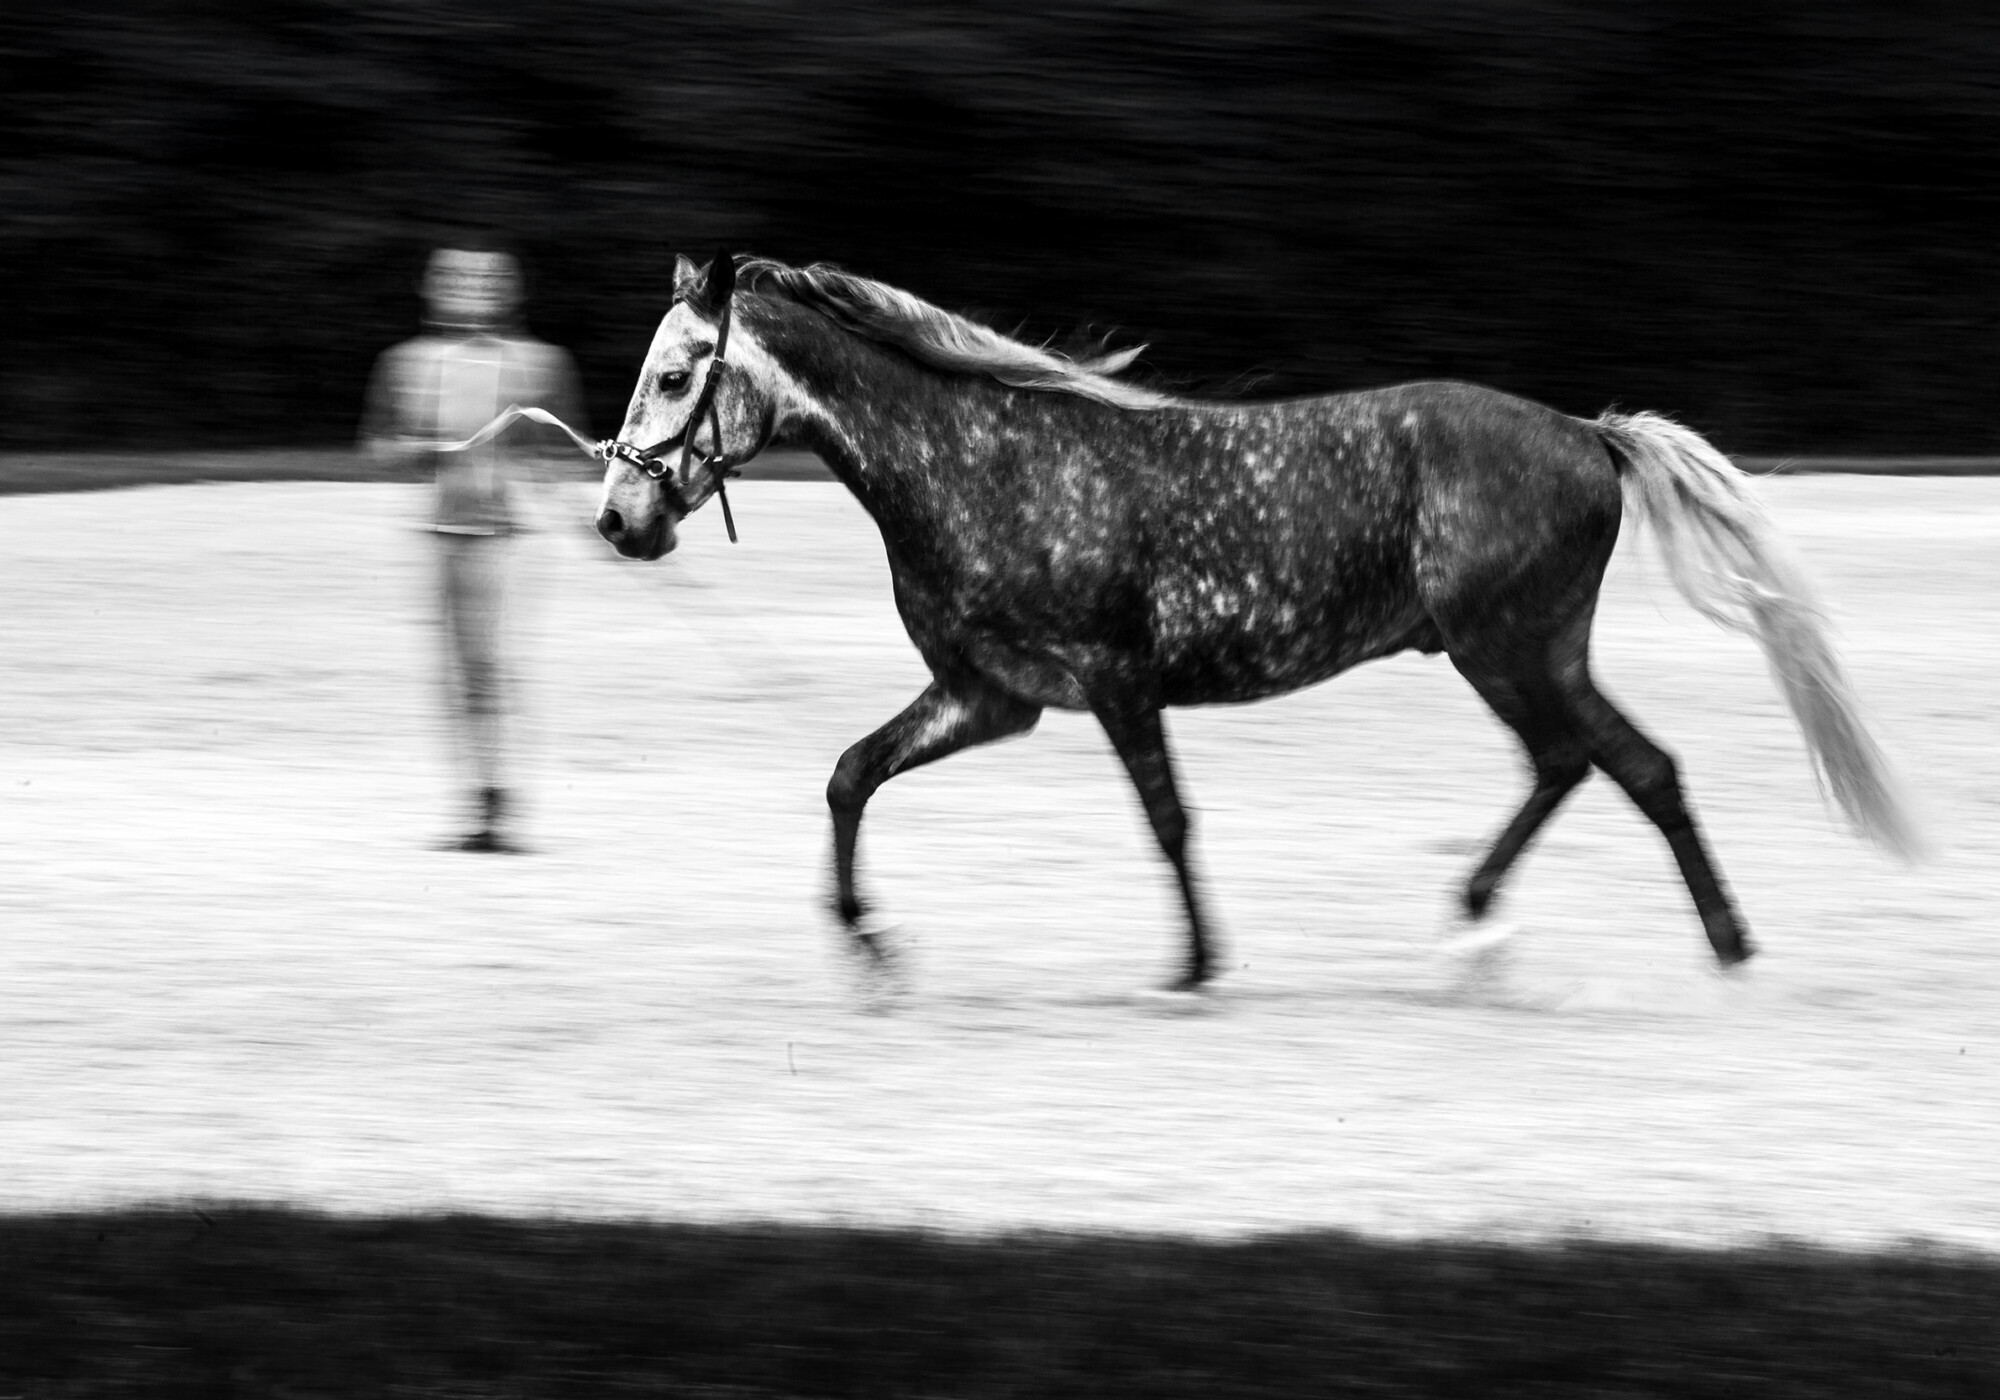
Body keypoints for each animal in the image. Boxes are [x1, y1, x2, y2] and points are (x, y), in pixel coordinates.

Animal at [594, 252, 1920, 991]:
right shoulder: (992, 695)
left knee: (1623, 764)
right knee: (1589, 765)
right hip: (1517, 652)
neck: (980, 463)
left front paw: (1194, 962)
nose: (617, 517)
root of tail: (1589, 434)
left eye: (676, 374)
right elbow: (849, 774)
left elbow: (1168, 821)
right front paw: (870, 945)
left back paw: (1697, 943)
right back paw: (1502, 928)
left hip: (1508, 646)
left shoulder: (1111, 681)